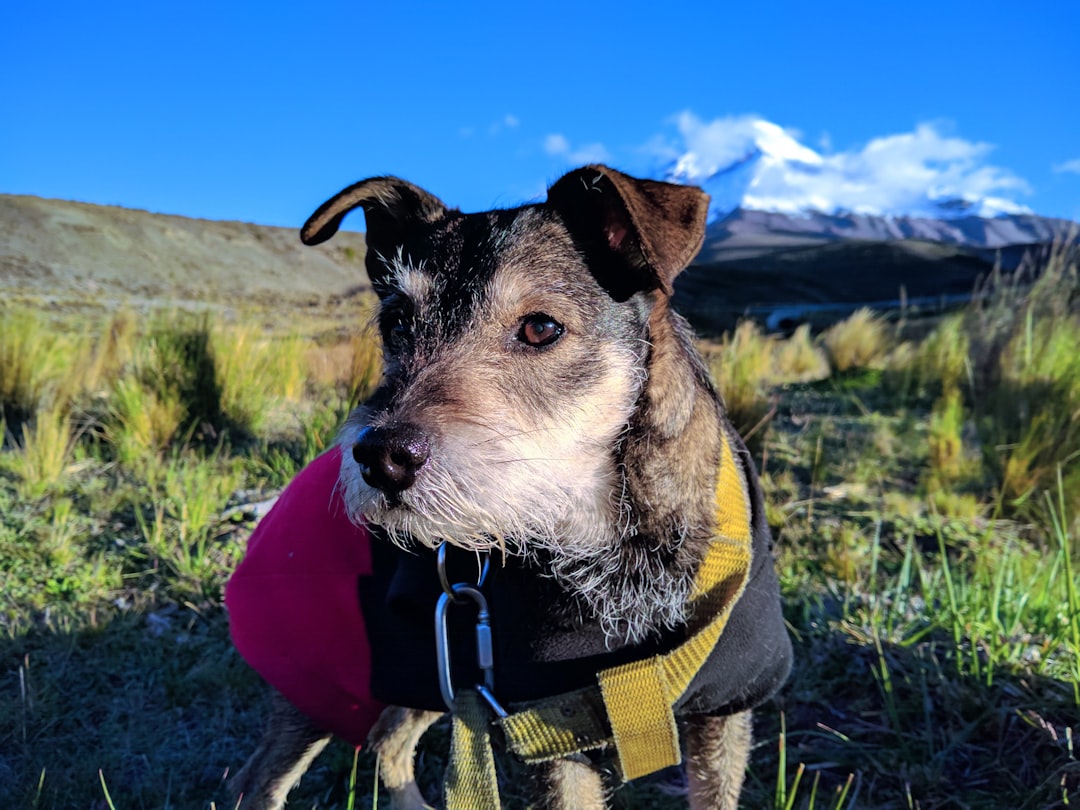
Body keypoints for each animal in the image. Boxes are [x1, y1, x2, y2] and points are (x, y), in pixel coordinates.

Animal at [227, 166, 790, 810]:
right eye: (396, 322)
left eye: (541, 327)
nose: (381, 458)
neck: (617, 537)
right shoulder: (550, 728)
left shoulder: (724, 711)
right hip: (324, 681)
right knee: (259, 782)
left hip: (435, 670)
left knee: (388, 741)